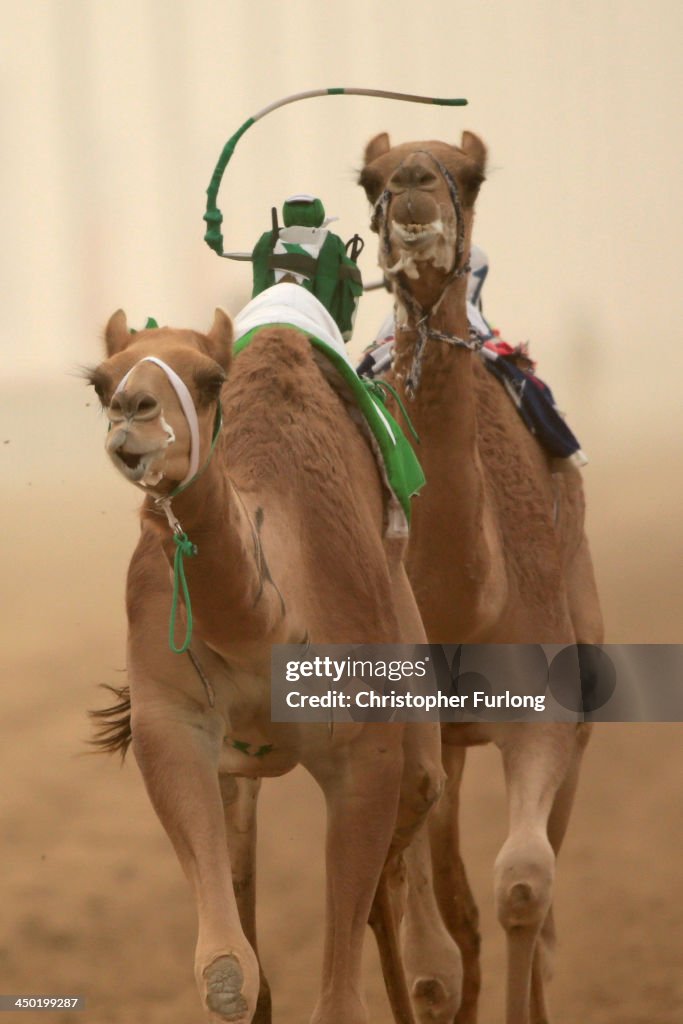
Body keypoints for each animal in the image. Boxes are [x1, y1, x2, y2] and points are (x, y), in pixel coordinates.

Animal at [86, 297, 458, 1024]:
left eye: (208, 379)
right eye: (100, 382)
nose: (131, 412)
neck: (266, 628)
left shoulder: (363, 749)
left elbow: (340, 999)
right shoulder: (170, 718)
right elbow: (229, 972)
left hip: (404, 634)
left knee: (420, 810)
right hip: (240, 775)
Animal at [359, 131, 604, 1024]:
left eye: (468, 176)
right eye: (369, 177)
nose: (410, 186)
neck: (460, 600)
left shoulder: (541, 711)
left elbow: (523, 889)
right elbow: (430, 959)